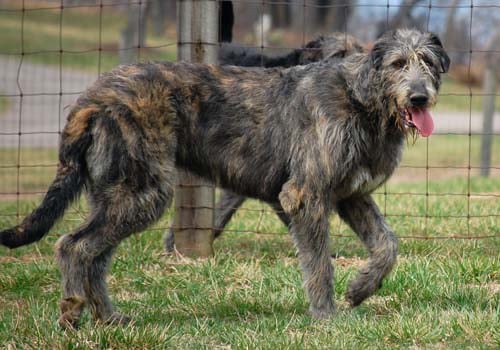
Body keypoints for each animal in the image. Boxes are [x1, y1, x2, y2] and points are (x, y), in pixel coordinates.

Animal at [0, 28, 452, 328]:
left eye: (427, 62)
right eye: (397, 64)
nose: (419, 98)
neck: (362, 98)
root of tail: (92, 96)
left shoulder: (350, 195)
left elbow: (387, 244)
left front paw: (361, 288)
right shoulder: (305, 195)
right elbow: (319, 263)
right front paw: (325, 317)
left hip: (117, 192)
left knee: (94, 255)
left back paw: (109, 318)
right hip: (142, 192)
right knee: (73, 246)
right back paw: (73, 313)